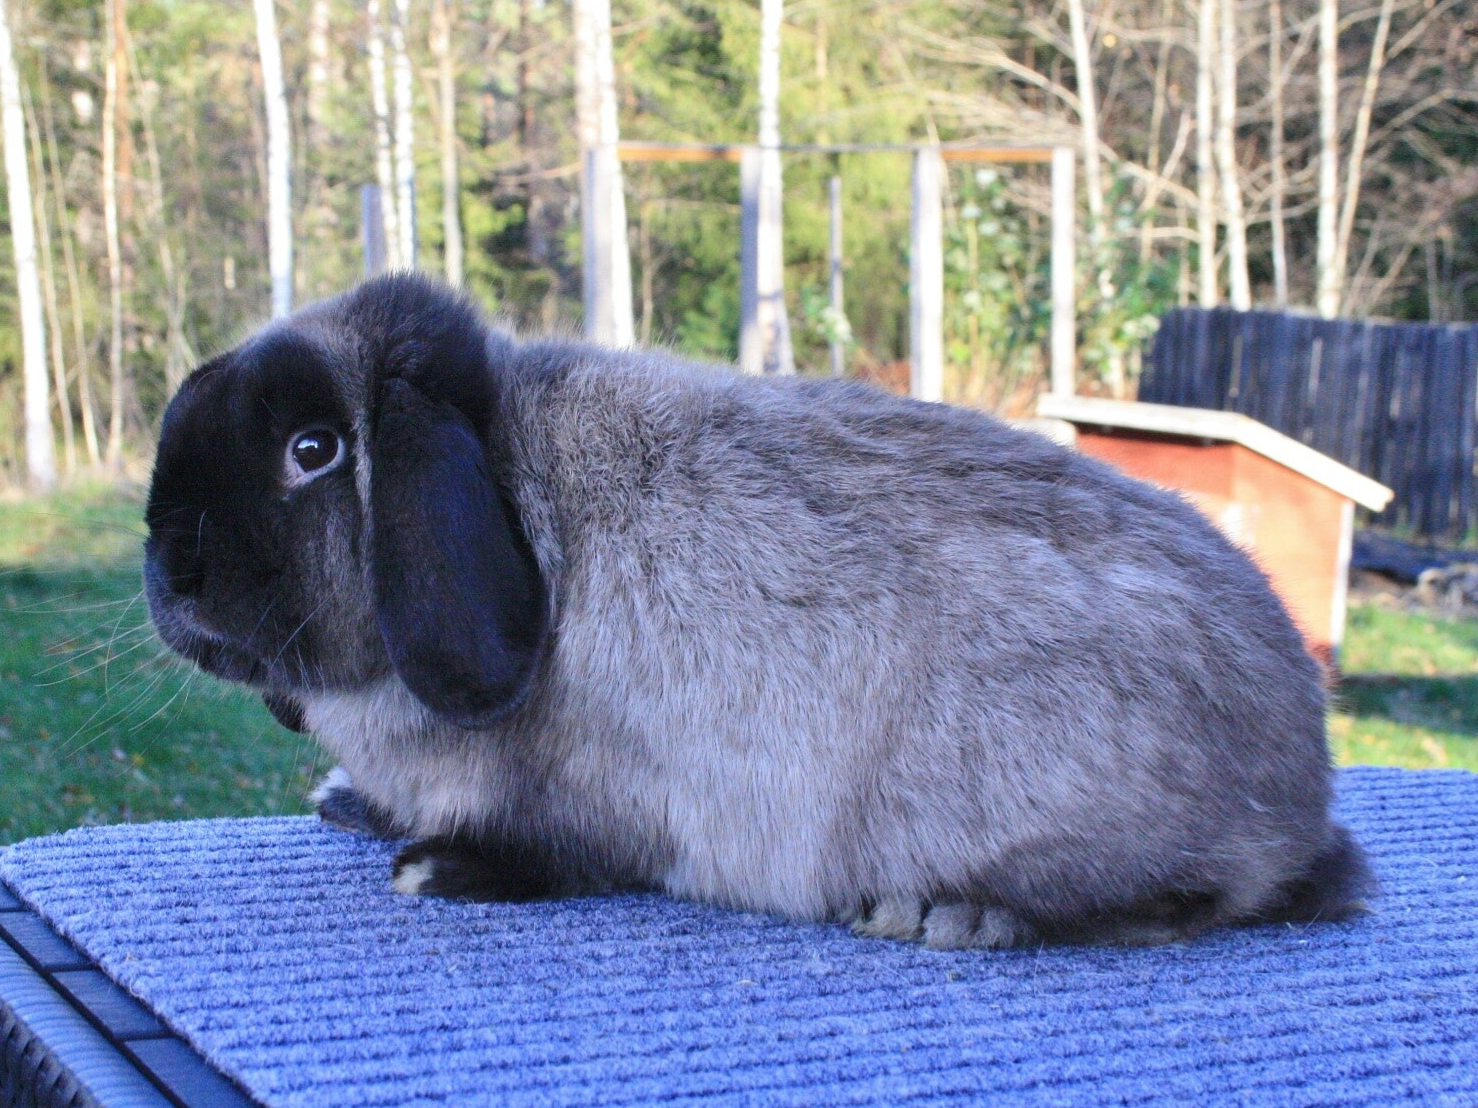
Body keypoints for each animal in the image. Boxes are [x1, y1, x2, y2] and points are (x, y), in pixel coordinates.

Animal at [144, 273, 1372, 950]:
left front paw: (440, 868)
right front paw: (346, 803)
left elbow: (570, 856)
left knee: (1197, 901)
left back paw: (951, 917)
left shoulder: (623, 810)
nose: (166, 572)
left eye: (315, 450)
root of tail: (1301, 797)